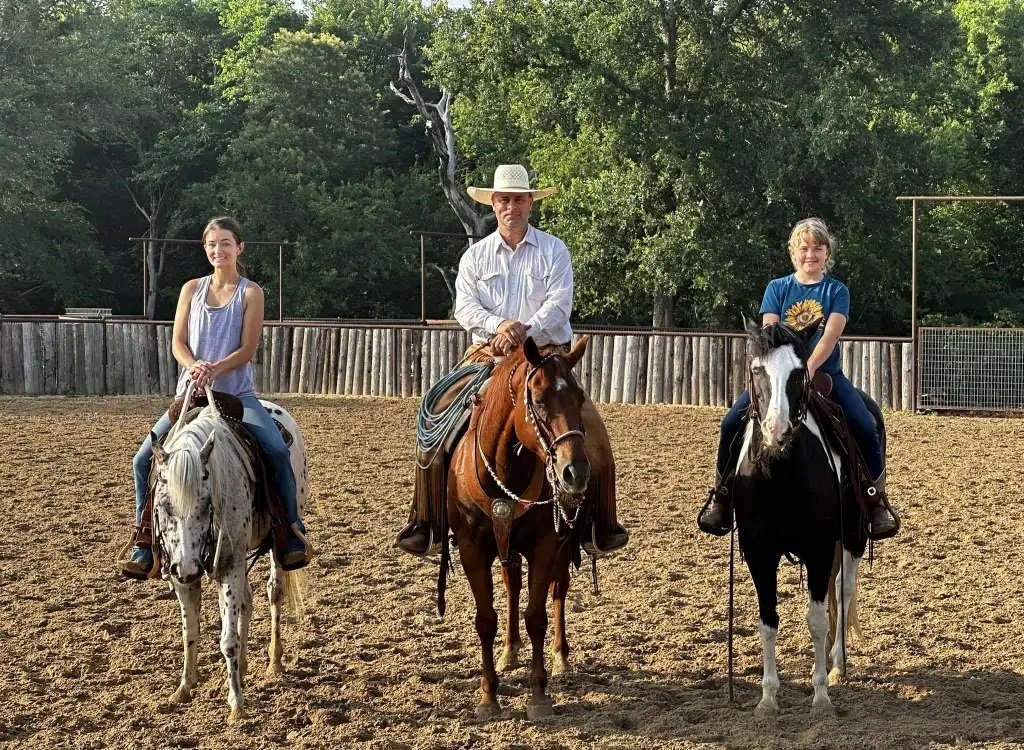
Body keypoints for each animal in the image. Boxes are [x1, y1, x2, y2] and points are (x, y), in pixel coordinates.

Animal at [149, 384, 309, 722]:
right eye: (165, 506)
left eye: (206, 504)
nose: (189, 569)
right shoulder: (182, 572)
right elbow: (190, 631)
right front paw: (184, 687)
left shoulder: (230, 564)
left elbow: (228, 640)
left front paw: (236, 703)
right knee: (246, 601)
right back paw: (245, 668)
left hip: (276, 547)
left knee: (274, 593)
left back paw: (274, 662)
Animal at [444, 336, 595, 720]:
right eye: (538, 400)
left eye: (580, 398)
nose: (575, 472)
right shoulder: (472, 549)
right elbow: (486, 619)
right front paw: (488, 697)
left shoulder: (545, 546)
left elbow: (537, 616)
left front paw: (539, 695)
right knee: (512, 585)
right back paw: (509, 652)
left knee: (559, 590)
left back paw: (560, 658)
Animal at [733, 320, 867, 717]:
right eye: (756, 370)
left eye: (797, 374)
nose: (777, 430)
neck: (781, 473)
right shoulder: (759, 553)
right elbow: (768, 621)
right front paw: (767, 698)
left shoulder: (819, 549)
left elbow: (817, 621)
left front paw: (821, 696)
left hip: (853, 539)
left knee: (844, 590)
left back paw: (838, 664)